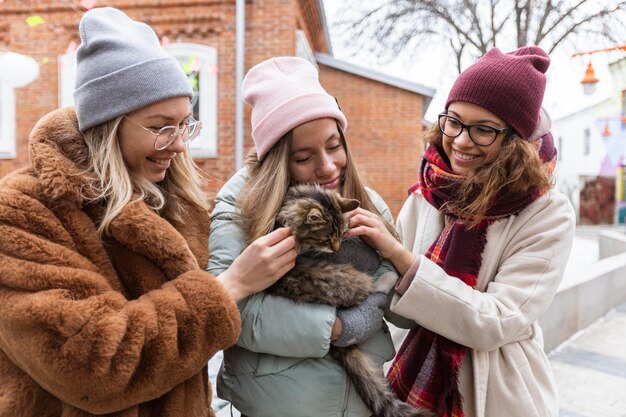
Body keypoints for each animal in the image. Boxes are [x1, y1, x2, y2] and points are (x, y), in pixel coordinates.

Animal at [266, 185, 432, 416]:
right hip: (339, 279)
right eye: (325, 239)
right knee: (369, 290)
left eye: (341, 234)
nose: (336, 249)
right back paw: (388, 279)